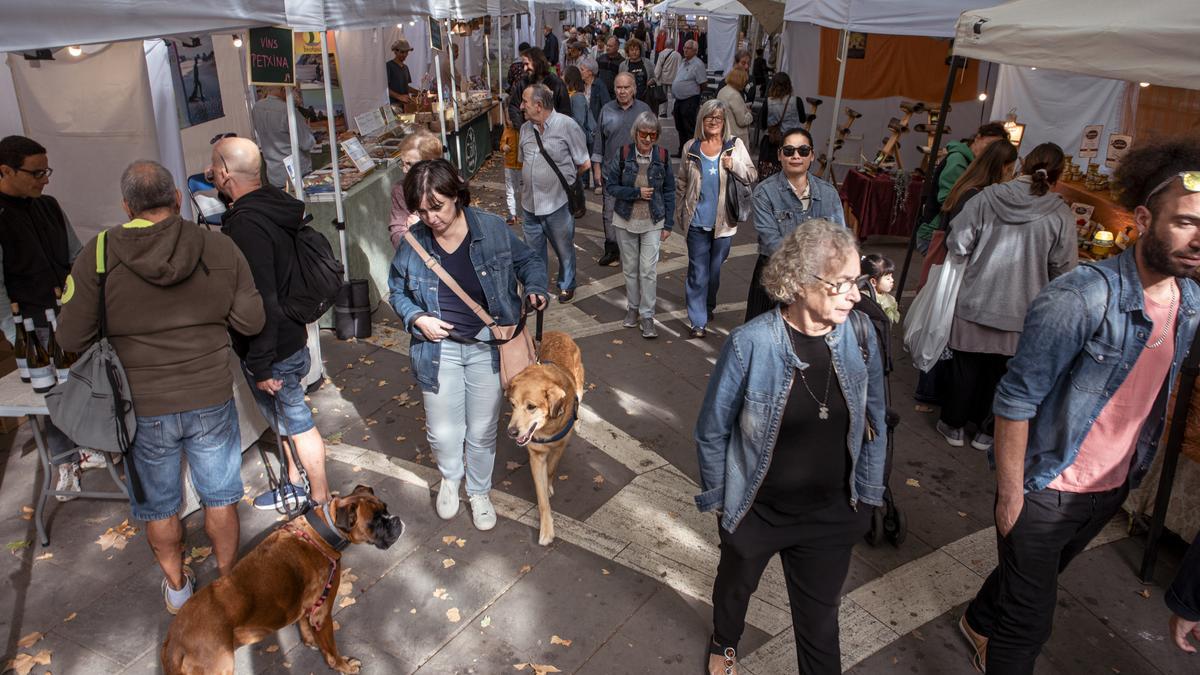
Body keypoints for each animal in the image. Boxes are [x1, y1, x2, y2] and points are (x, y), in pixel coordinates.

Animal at [162, 482, 405, 672]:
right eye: (375, 522)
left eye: (386, 508)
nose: (396, 519)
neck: (321, 533)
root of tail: (174, 643)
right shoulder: (322, 613)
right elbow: (331, 649)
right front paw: (344, 666)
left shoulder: (306, 606)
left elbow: (305, 627)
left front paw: (310, 642)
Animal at [504, 331, 583, 547]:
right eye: (512, 404)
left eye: (531, 407)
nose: (512, 432)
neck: (547, 427)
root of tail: (559, 332)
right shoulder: (537, 456)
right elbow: (541, 501)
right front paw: (546, 530)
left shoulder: (559, 448)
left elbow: (551, 470)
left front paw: (548, 486)